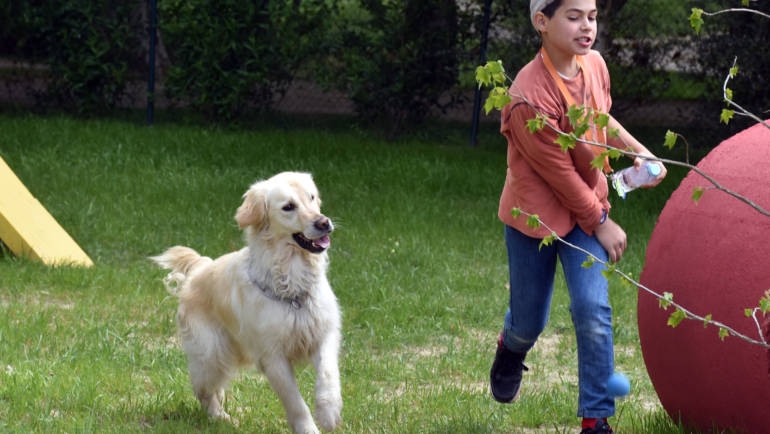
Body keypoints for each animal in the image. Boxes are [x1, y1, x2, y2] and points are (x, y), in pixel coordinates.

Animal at [151, 173, 342, 434]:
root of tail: (199, 268)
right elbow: (295, 402)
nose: (324, 222)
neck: (291, 281)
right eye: (288, 207)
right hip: (212, 352)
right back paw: (220, 417)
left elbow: (328, 373)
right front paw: (309, 429)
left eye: (311, 197)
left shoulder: (324, 333)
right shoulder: (272, 357)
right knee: (203, 389)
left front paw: (328, 411)